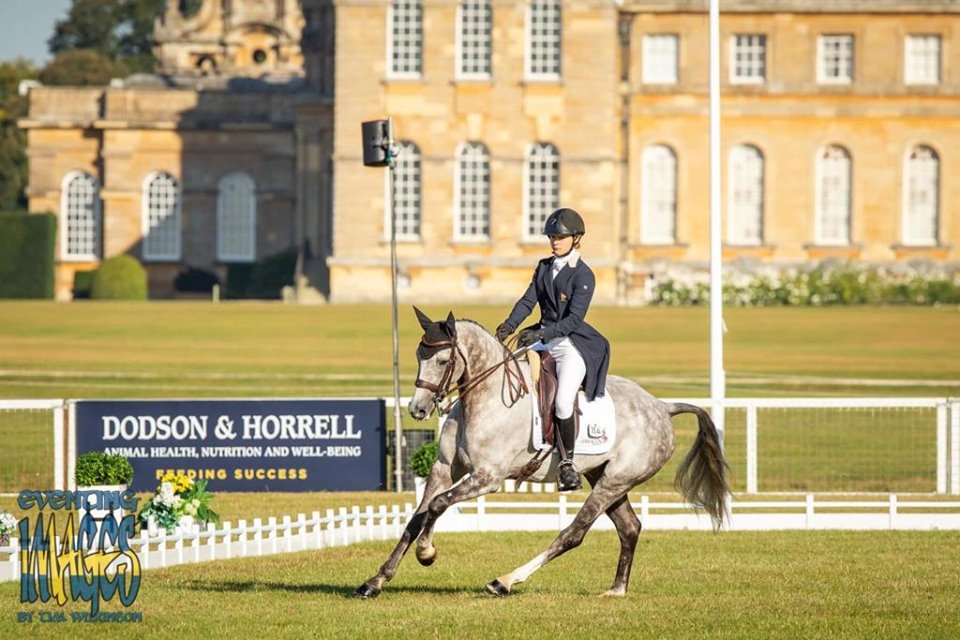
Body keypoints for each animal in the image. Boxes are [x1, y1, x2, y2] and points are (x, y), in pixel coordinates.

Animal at [352, 312, 728, 596]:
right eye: (419, 356)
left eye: (444, 360)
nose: (417, 410)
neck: (484, 398)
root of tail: (662, 408)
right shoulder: (444, 469)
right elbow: (417, 517)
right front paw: (375, 580)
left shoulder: (488, 478)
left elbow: (438, 505)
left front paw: (427, 553)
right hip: (605, 477)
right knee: (630, 527)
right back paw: (616, 589)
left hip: (616, 480)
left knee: (574, 534)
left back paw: (504, 581)